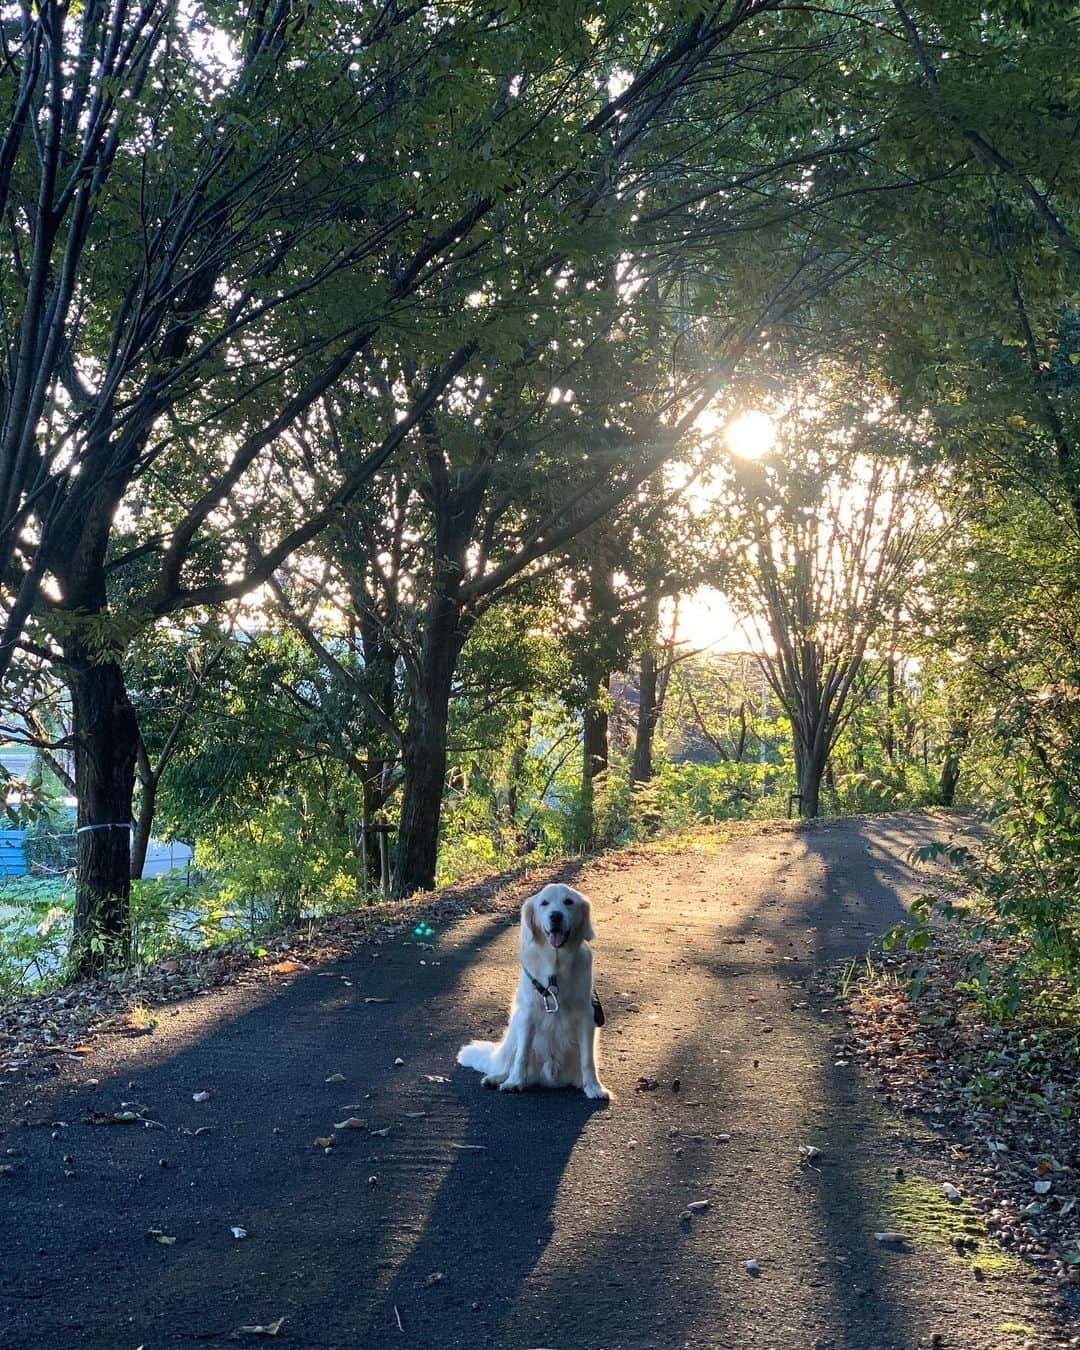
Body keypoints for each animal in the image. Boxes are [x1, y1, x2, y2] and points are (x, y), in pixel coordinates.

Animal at [456, 885, 607, 1096]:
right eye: (544, 903)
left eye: (568, 902)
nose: (556, 916)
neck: (555, 969)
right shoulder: (528, 1014)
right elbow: (522, 1056)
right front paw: (514, 1082)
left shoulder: (586, 1016)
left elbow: (587, 1060)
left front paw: (594, 1087)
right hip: (514, 1030)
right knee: (509, 1063)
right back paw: (497, 1078)